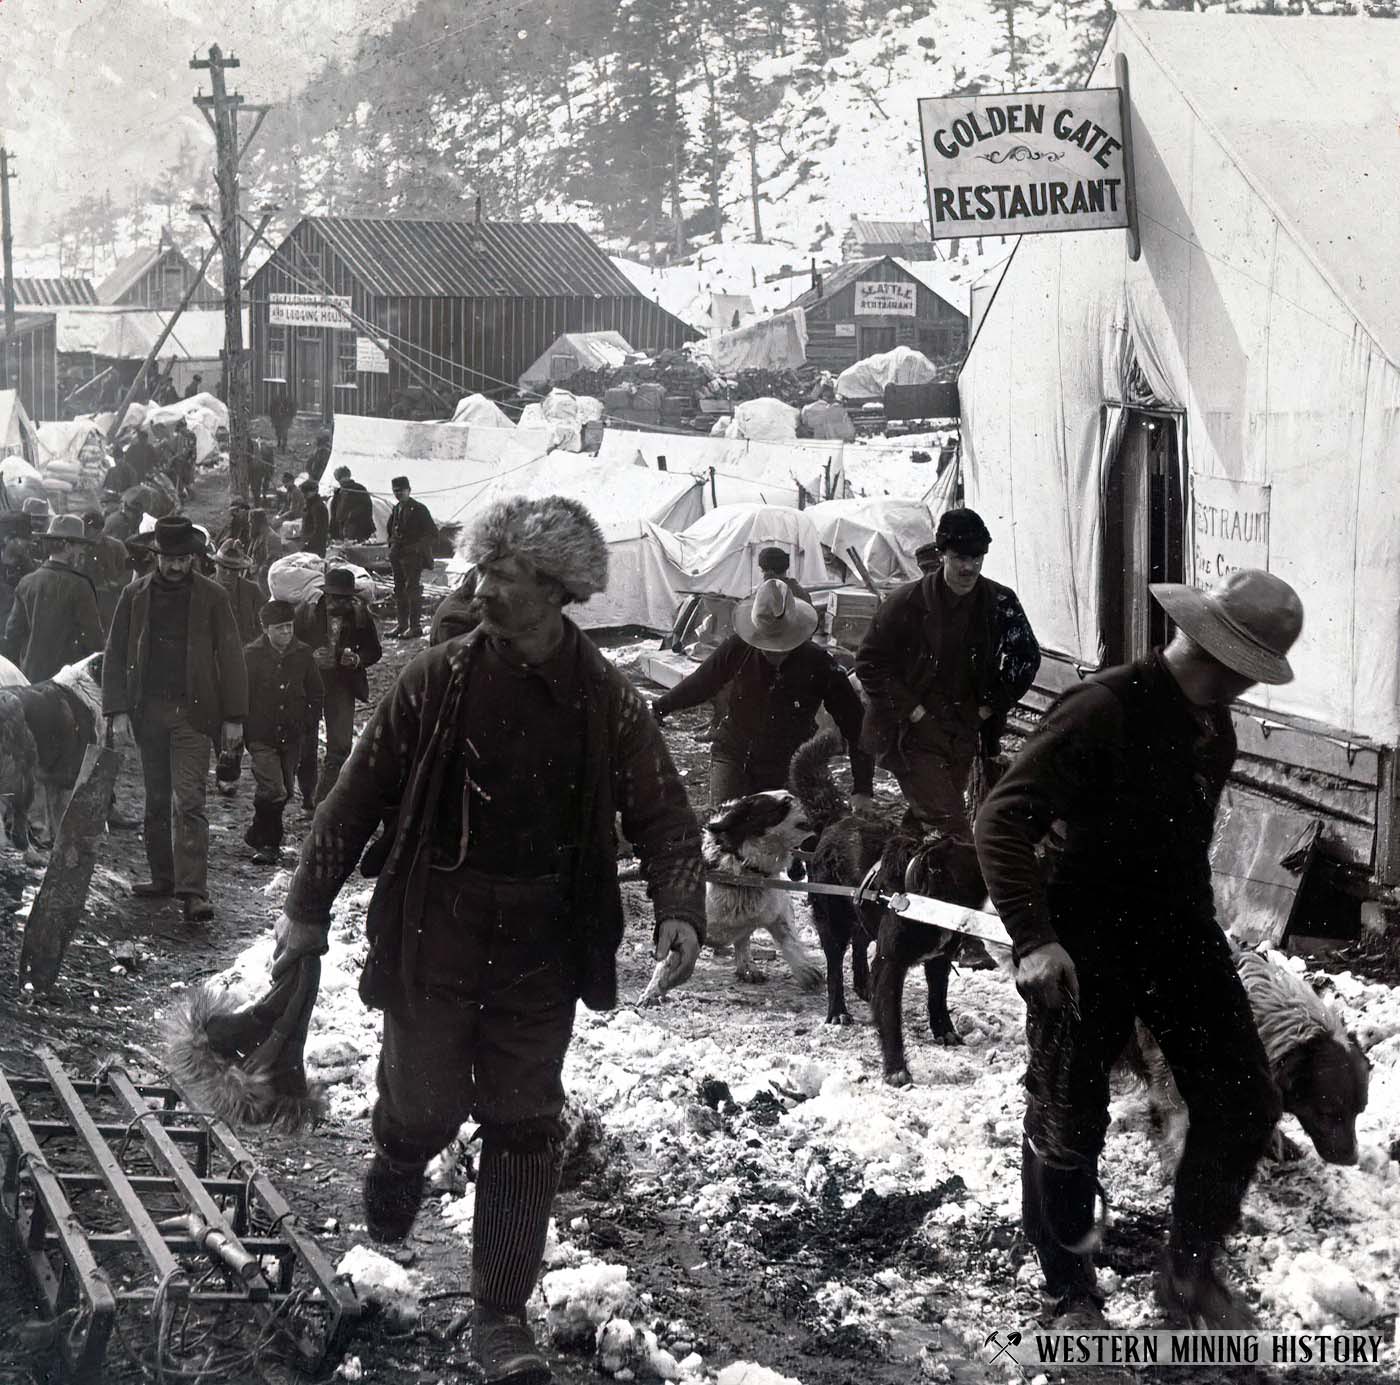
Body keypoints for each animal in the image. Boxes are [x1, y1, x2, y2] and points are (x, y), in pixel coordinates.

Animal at [0, 652, 106, 862]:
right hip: (23, 775)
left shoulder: (52, 780)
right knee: (19, 821)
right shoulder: (72, 776)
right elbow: (64, 814)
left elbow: (54, 815)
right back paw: (31, 854)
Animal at [641, 789, 823, 1002]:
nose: (808, 801)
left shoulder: (779, 911)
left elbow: (789, 940)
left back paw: (748, 967)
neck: (745, 870)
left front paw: (805, 971)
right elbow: (669, 959)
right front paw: (653, 990)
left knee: (743, 939)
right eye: (785, 802)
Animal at [795, 722, 991, 1081]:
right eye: (976, 870)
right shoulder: (891, 964)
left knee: (859, 943)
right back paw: (838, 1011)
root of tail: (838, 818)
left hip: (860, 914)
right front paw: (896, 1068)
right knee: (834, 968)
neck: (925, 900)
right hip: (832, 923)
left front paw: (945, 1030)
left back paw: (862, 983)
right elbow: (890, 1018)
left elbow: (937, 998)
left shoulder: (939, 959)